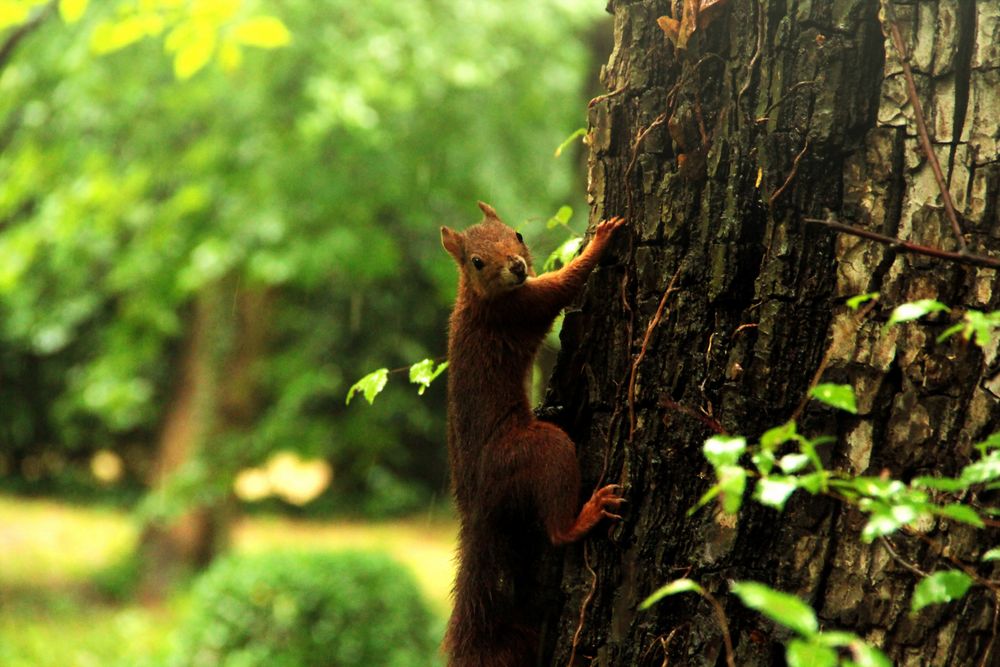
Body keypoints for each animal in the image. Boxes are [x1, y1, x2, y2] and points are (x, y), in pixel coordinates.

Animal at [440, 201, 620, 664]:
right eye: (476, 261)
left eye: (517, 234)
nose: (517, 266)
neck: (477, 296)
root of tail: (477, 505)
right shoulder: (522, 307)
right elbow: (564, 284)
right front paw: (600, 240)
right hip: (534, 451)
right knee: (557, 530)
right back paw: (586, 515)